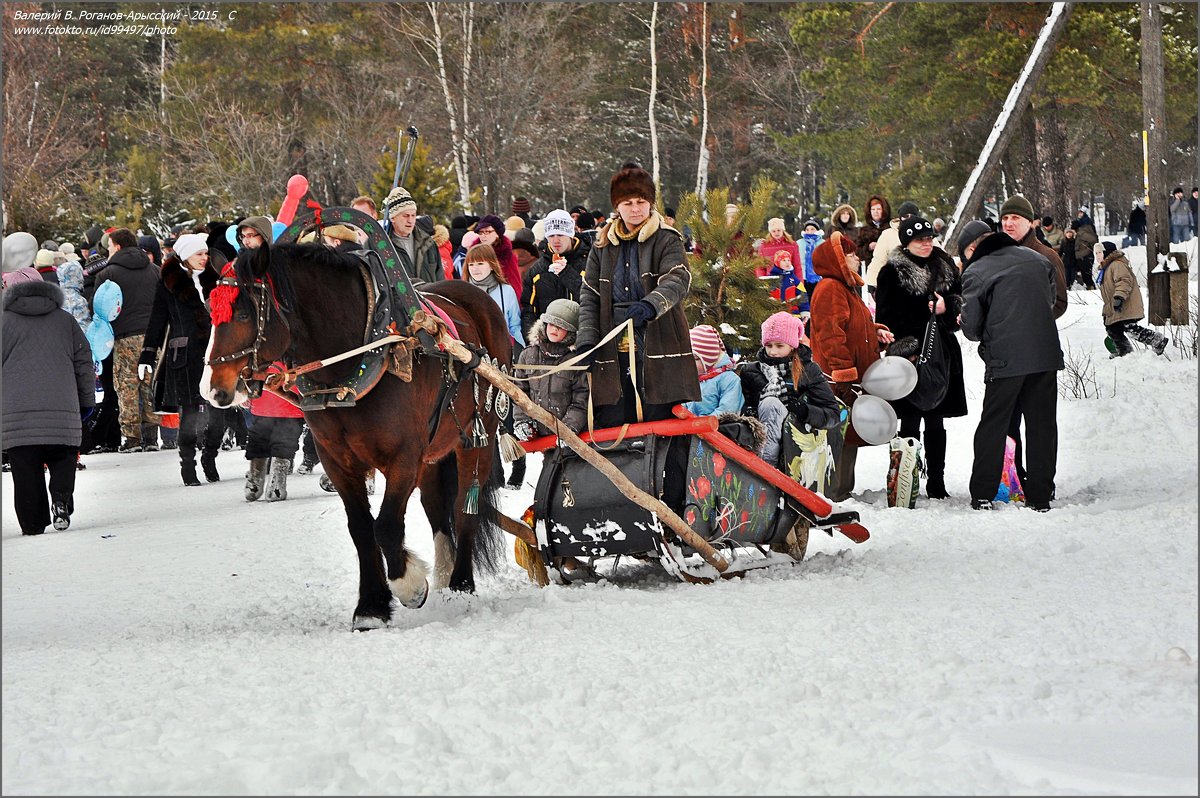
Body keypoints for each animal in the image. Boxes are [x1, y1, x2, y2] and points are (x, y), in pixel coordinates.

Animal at [198, 242, 516, 628]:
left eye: (244, 313)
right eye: (210, 310)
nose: (212, 390)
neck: (356, 362)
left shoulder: (403, 456)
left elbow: (387, 526)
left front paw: (409, 586)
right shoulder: (338, 460)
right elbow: (362, 528)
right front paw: (371, 607)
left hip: (477, 432)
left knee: (465, 506)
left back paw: (461, 585)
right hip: (433, 449)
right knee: (436, 506)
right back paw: (444, 572)